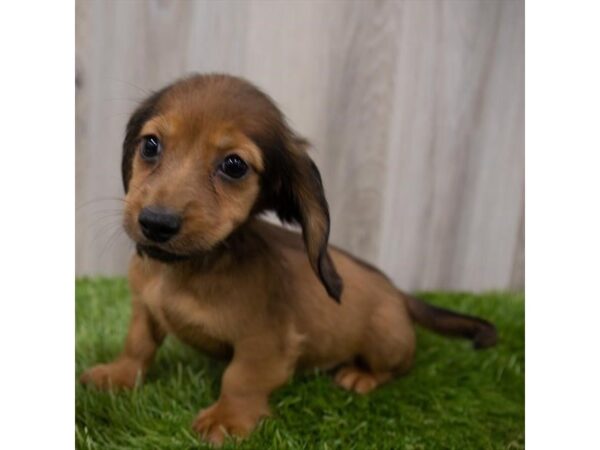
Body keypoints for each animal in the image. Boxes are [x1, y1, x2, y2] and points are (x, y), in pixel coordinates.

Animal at [81, 73, 496, 442]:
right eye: (150, 145)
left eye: (234, 166)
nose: (156, 223)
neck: (188, 269)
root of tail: (399, 293)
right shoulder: (144, 309)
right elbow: (138, 345)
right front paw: (117, 375)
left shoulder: (266, 343)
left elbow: (240, 378)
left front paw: (227, 419)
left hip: (386, 340)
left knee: (399, 366)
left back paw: (361, 375)